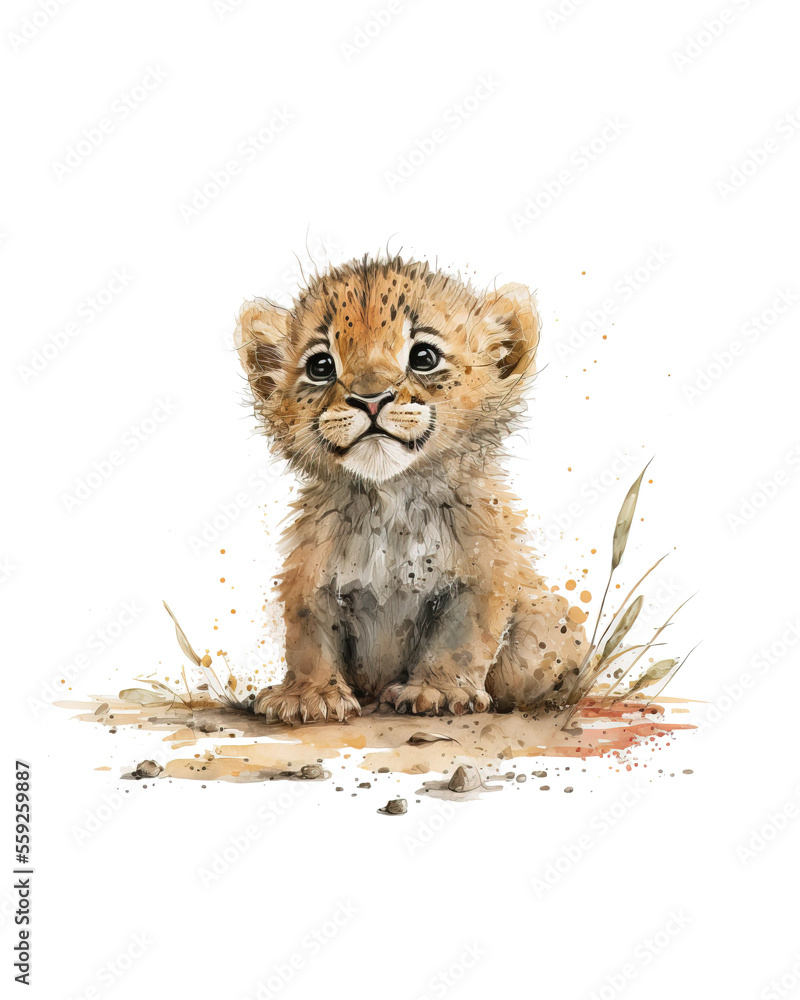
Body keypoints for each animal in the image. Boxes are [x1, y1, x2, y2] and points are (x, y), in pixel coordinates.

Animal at [234, 254, 585, 723]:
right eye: (320, 366)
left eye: (423, 356)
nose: (370, 399)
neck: (392, 503)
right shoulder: (309, 576)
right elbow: (309, 637)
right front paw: (309, 696)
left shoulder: (486, 574)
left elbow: (460, 638)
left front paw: (438, 691)